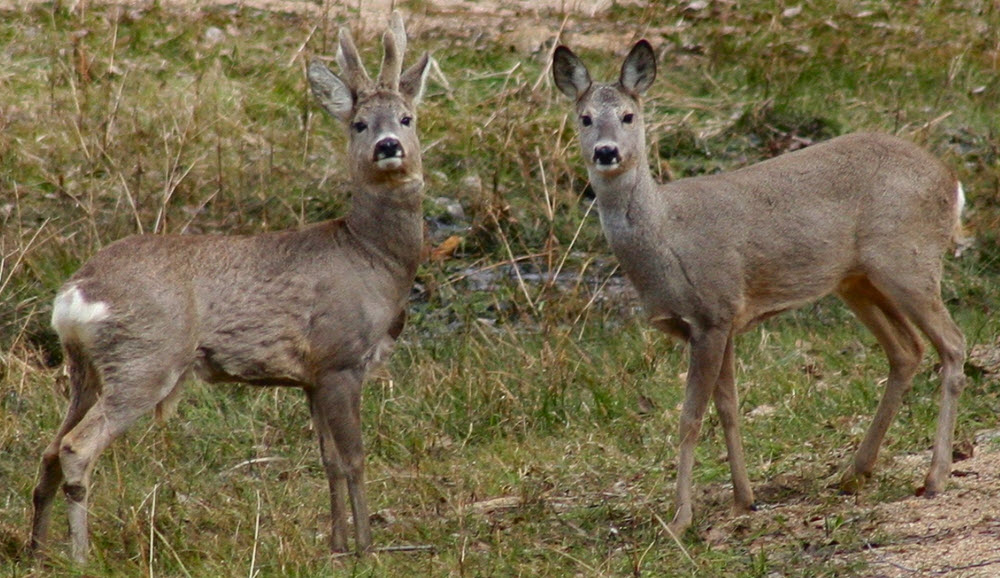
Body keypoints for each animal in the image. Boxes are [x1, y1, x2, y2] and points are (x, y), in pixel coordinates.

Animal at [30, 12, 430, 560]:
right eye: (359, 123)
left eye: (407, 118)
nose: (387, 147)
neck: (372, 257)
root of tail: (75, 293)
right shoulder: (340, 358)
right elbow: (354, 458)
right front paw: (365, 549)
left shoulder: (311, 376)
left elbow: (327, 460)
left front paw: (336, 544)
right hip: (144, 358)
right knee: (75, 447)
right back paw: (80, 556)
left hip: (85, 369)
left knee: (49, 447)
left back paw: (35, 551)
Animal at [556, 40, 968, 532]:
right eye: (584, 118)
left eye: (627, 115)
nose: (605, 152)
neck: (666, 239)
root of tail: (952, 181)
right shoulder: (722, 321)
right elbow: (728, 409)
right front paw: (744, 499)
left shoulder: (713, 311)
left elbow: (691, 418)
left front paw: (680, 517)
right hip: (857, 280)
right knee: (907, 350)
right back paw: (853, 472)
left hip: (909, 261)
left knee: (953, 343)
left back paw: (934, 477)